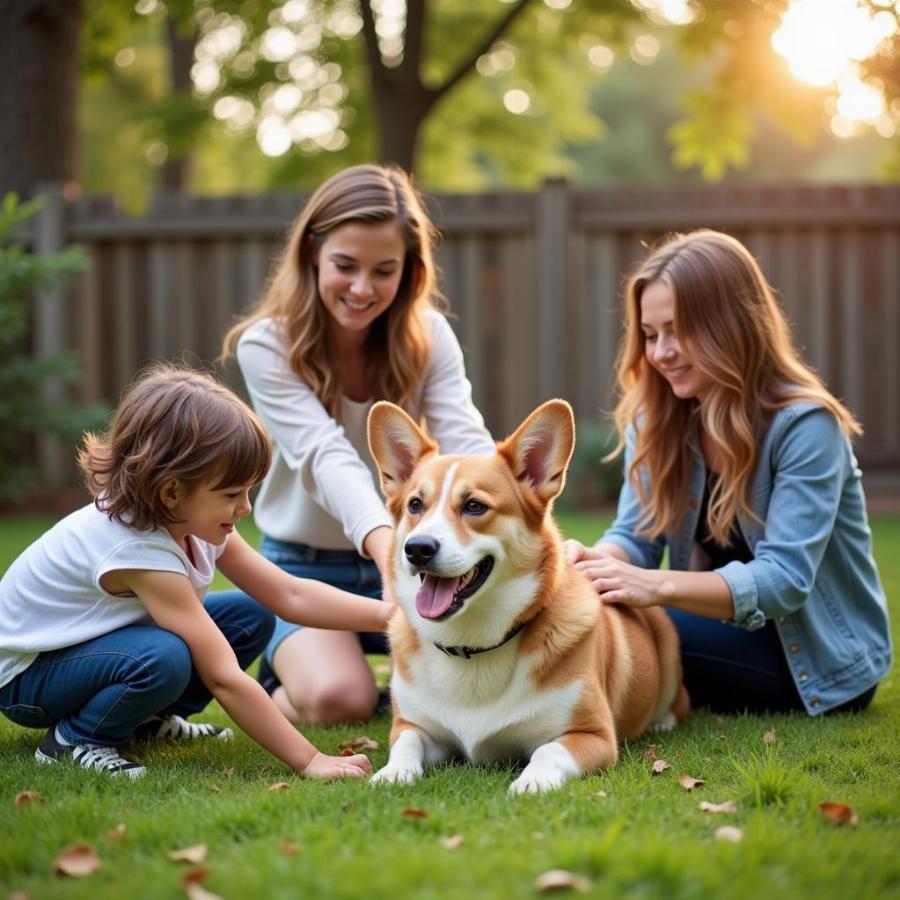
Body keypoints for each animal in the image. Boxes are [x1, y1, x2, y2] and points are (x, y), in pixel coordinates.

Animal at [366, 400, 688, 796]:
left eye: (474, 506)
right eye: (415, 505)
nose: (417, 549)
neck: (472, 647)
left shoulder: (594, 735)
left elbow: (548, 750)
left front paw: (532, 781)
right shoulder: (414, 726)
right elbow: (405, 743)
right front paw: (392, 773)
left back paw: (662, 721)